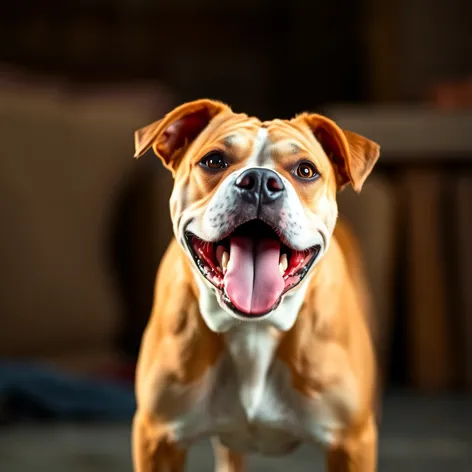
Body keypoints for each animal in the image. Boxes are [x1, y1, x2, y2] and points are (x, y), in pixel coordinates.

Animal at [132, 97, 380, 470]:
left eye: (305, 170)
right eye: (214, 160)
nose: (261, 180)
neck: (253, 328)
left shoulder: (352, 443)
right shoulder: (157, 438)